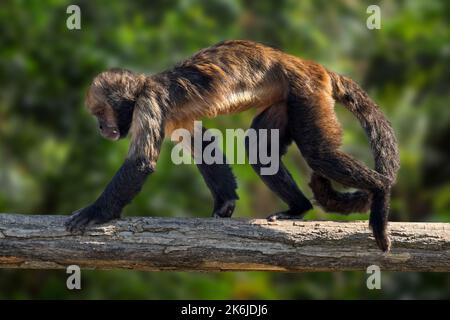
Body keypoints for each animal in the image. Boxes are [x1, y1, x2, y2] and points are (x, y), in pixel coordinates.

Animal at [65, 40, 400, 251]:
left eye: (100, 113)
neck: (143, 88)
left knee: (319, 154)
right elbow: (203, 144)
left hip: (307, 90)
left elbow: (141, 162)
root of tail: (308, 64)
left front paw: (96, 211)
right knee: (259, 149)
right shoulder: (169, 117)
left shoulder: (149, 103)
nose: (100, 127)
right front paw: (225, 203)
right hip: (288, 98)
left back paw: (381, 188)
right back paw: (298, 208)